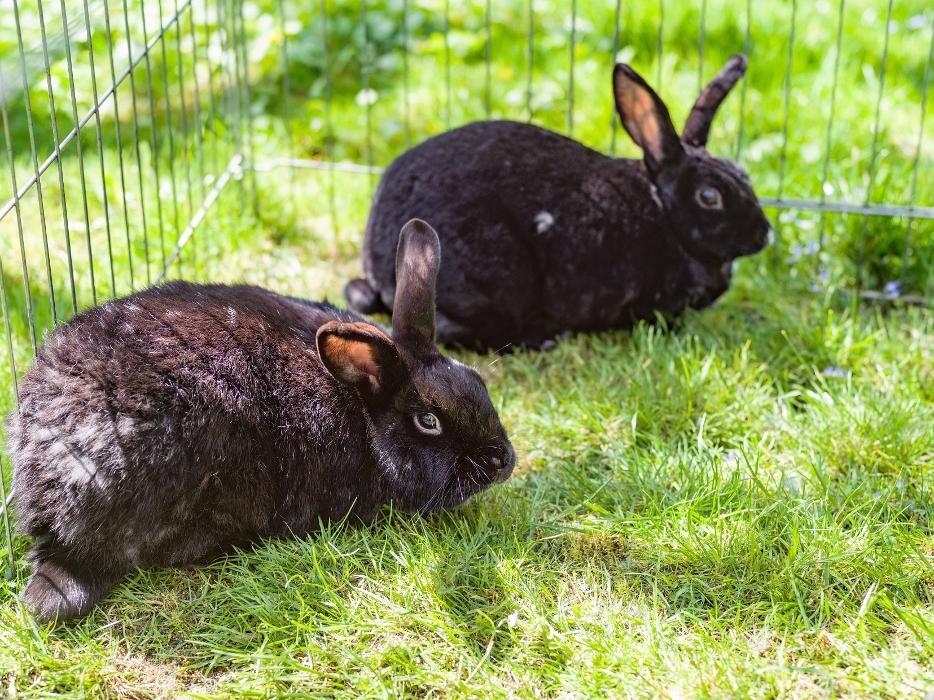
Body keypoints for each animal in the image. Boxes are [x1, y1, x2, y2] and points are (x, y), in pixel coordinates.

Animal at [348, 54, 772, 350]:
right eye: (709, 196)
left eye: (743, 173)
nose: (765, 235)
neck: (665, 215)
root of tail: (377, 261)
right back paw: (543, 340)